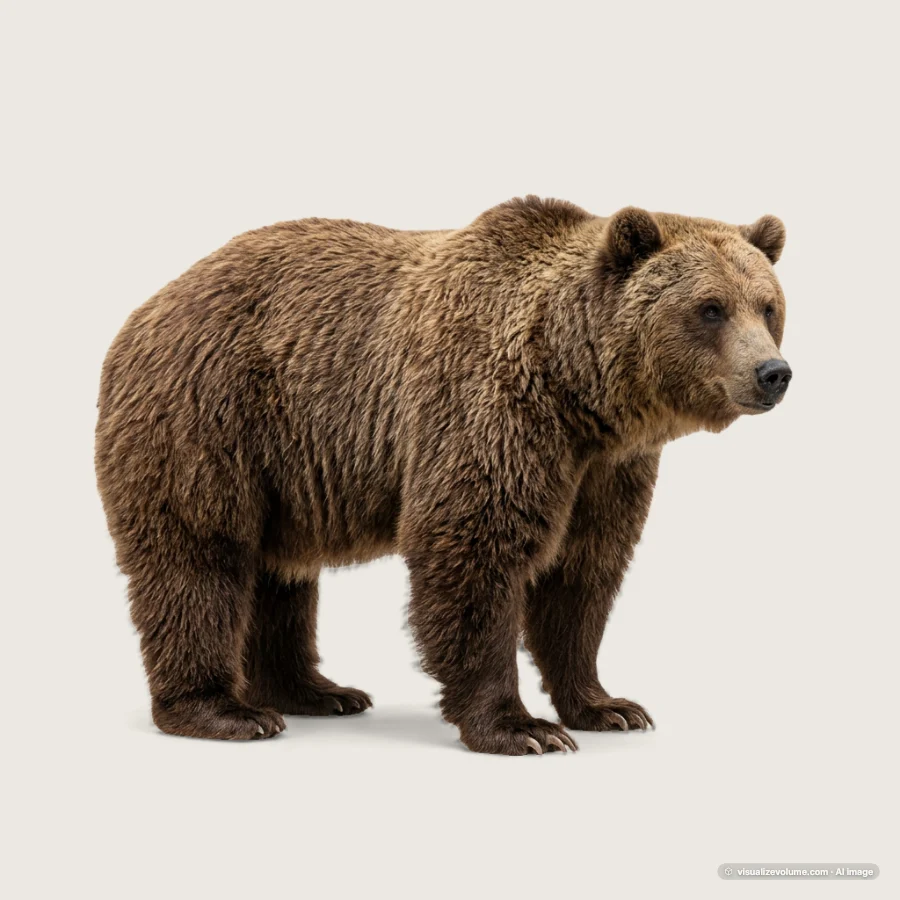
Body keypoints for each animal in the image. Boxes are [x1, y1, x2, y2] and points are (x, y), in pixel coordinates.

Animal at [95, 197, 791, 754]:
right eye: (710, 308)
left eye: (768, 306)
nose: (773, 373)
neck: (580, 392)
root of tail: (148, 305)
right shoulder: (490, 410)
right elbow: (476, 548)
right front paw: (521, 727)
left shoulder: (606, 469)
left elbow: (583, 573)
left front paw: (607, 705)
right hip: (210, 417)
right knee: (197, 556)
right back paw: (226, 711)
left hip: (285, 466)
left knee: (280, 573)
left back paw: (319, 691)